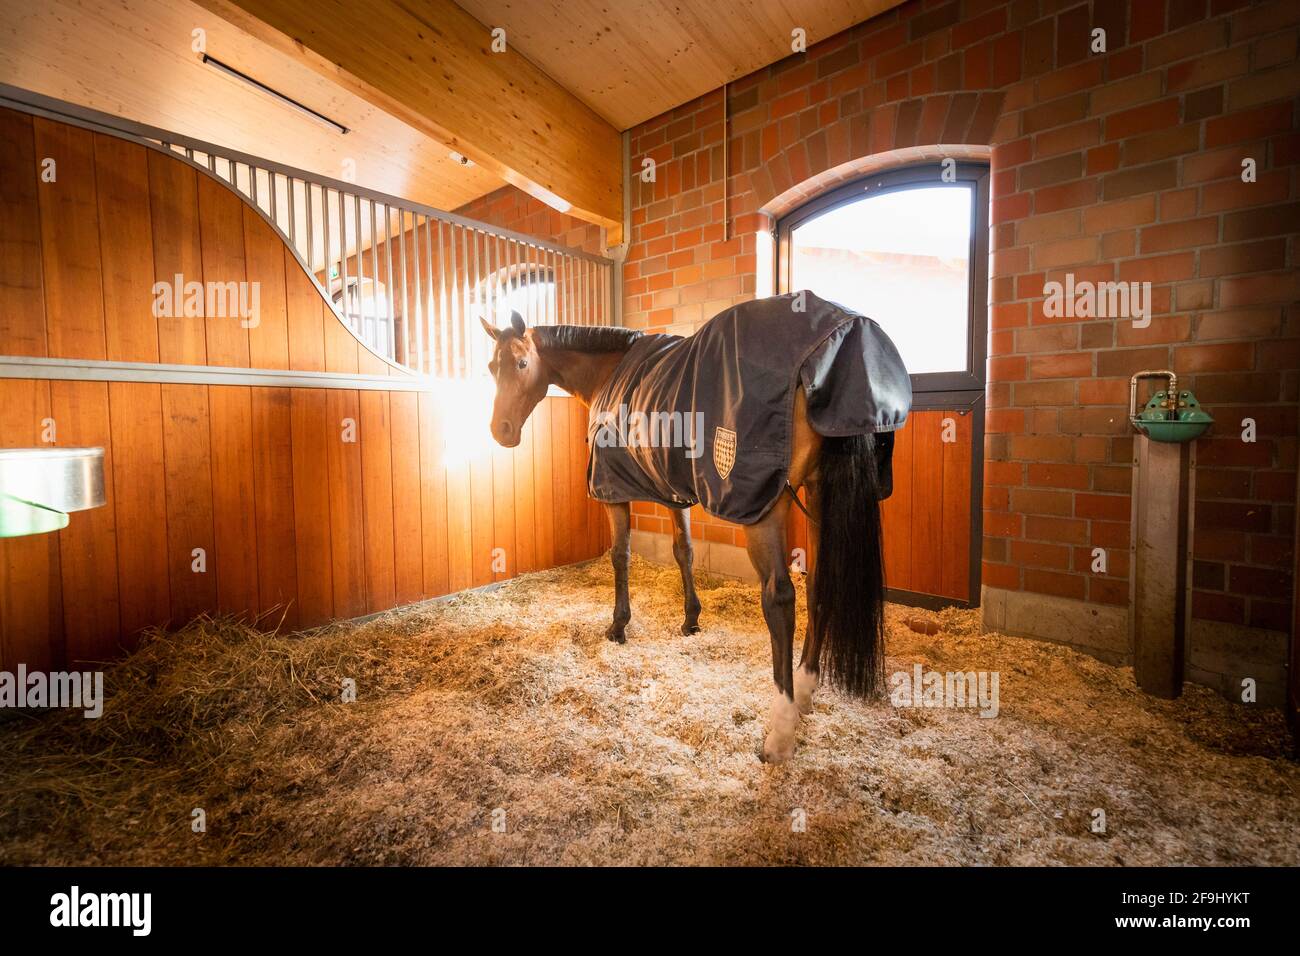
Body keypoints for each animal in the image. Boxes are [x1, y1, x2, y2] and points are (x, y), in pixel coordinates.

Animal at [480, 302, 903, 763]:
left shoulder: (613, 489)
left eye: (521, 363)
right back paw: (805, 691)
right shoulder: (670, 487)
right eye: (491, 367)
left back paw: (780, 732)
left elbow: (620, 555)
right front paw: (691, 619)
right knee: (819, 584)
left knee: (780, 598)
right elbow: (684, 550)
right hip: (818, 494)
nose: (500, 430)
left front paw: (619, 626)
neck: (608, 371)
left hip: (764, 508)